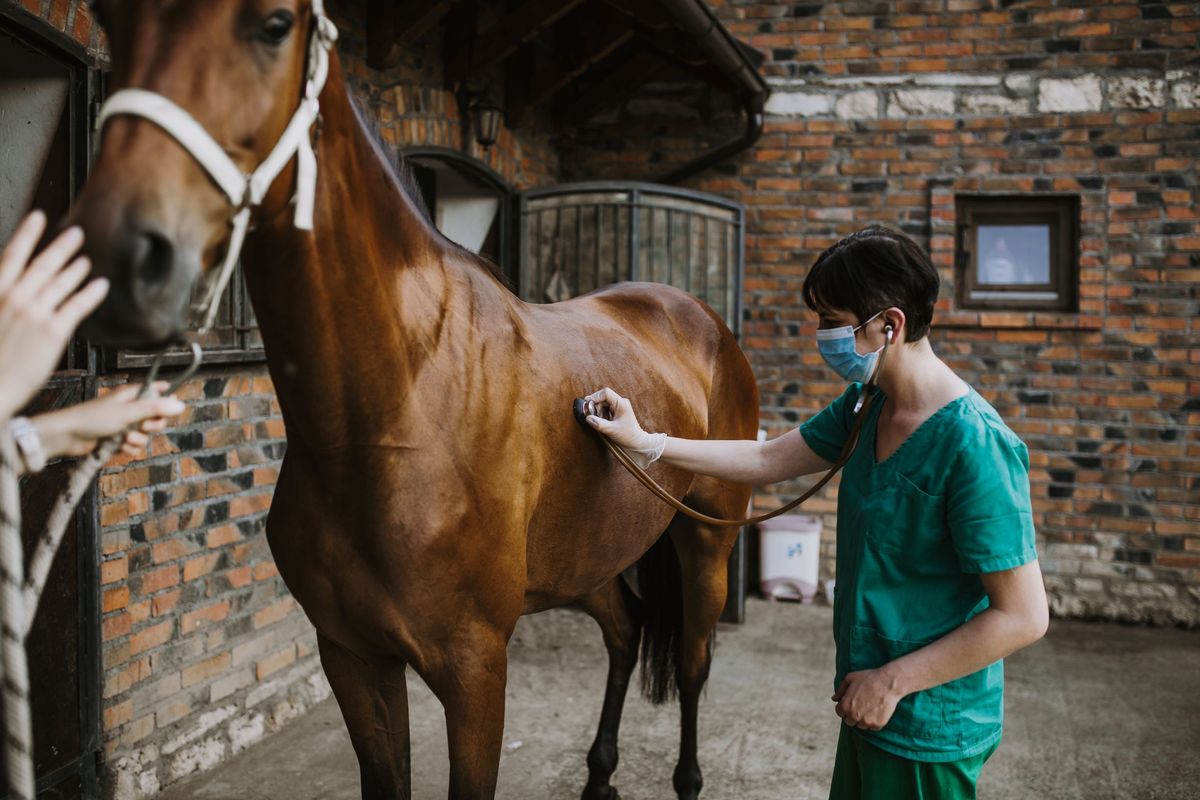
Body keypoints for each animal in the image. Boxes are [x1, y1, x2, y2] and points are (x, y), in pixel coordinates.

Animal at [70, 3, 753, 796]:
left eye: (274, 24)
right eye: (113, 18)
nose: (116, 254)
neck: (397, 414)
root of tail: (700, 319)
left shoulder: (476, 669)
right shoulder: (352, 656)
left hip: (705, 543)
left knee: (693, 665)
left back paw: (685, 777)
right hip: (589, 560)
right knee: (626, 630)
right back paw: (599, 774)